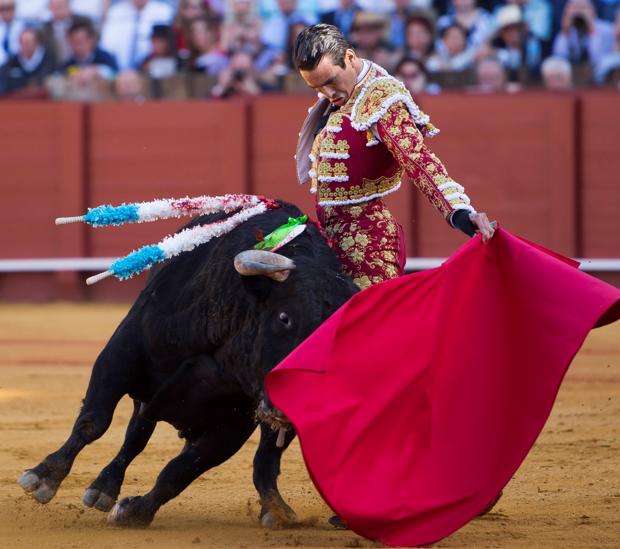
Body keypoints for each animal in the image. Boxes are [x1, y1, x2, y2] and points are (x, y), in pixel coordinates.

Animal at [18, 201, 358, 528]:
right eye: (284, 317)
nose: (294, 399)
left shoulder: (234, 421)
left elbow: (181, 470)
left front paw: (134, 511)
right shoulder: (122, 353)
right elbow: (93, 422)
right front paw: (44, 477)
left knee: (264, 458)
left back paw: (275, 509)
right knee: (136, 434)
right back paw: (103, 487)